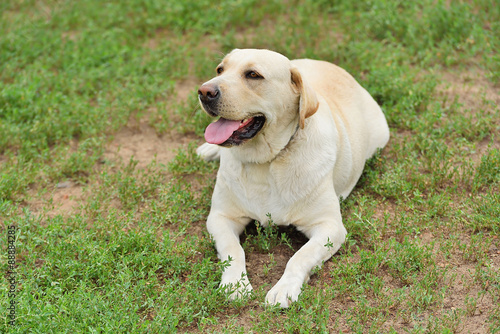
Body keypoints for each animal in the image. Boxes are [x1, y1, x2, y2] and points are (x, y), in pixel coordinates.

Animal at [195, 48, 390, 306]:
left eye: (253, 74)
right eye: (220, 69)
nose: (204, 91)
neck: (265, 162)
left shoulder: (329, 227)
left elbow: (299, 256)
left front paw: (284, 288)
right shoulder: (221, 217)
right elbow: (233, 250)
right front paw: (235, 283)